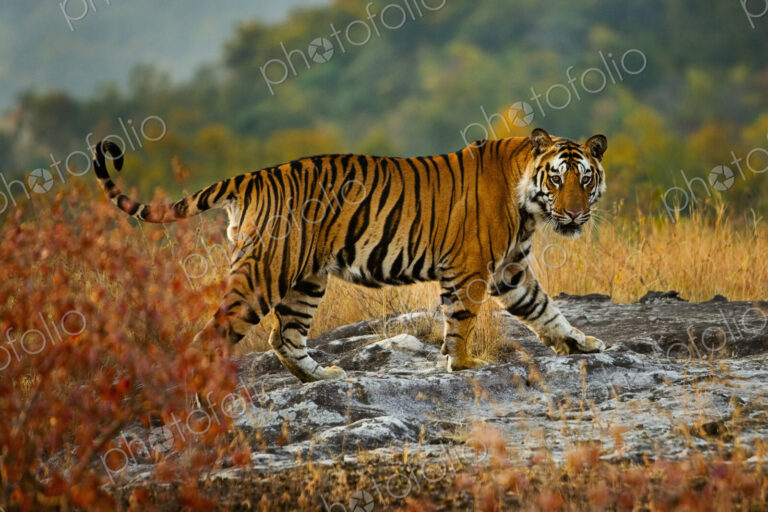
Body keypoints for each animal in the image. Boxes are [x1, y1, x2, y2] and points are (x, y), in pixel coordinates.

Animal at [92, 127, 608, 382]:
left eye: (585, 180)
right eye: (557, 179)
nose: (575, 214)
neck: (529, 205)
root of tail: (252, 176)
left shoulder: (511, 270)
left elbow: (545, 309)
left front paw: (579, 343)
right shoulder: (470, 269)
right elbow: (461, 322)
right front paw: (463, 366)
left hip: (305, 279)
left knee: (284, 337)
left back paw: (323, 376)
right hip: (264, 274)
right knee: (214, 335)